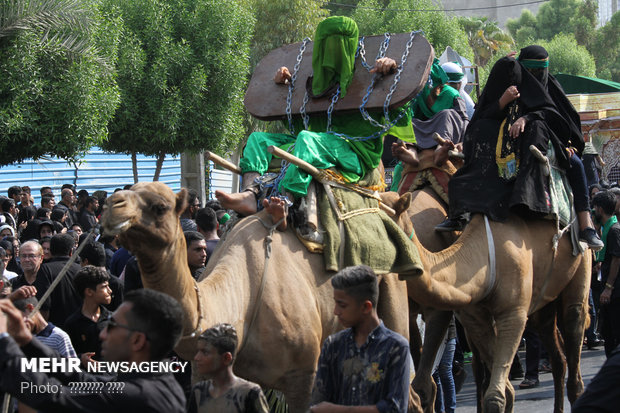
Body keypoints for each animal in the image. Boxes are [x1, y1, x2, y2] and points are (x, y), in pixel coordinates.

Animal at [388, 192, 592, 412]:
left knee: (574, 319)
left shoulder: (512, 313)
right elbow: (504, 390)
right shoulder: (474, 316)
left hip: (581, 261)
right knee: (556, 355)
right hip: (543, 305)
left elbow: (495, 396)